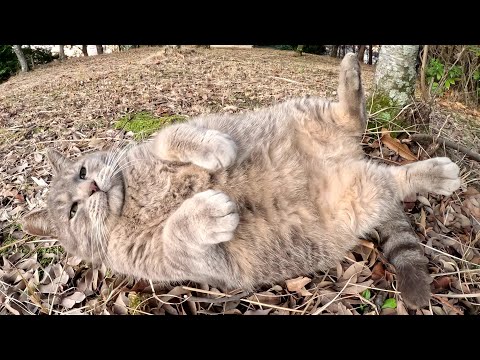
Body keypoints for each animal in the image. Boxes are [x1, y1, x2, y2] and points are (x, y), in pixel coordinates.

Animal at [22, 53, 462, 310]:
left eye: (82, 172)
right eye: (73, 211)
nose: (91, 188)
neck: (134, 198)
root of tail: (348, 159)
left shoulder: (159, 141)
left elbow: (171, 136)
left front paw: (214, 147)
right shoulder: (192, 263)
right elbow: (175, 231)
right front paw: (205, 210)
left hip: (306, 112)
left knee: (354, 120)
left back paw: (351, 74)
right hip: (357, 195)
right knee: (393, 180)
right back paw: (438, 173)